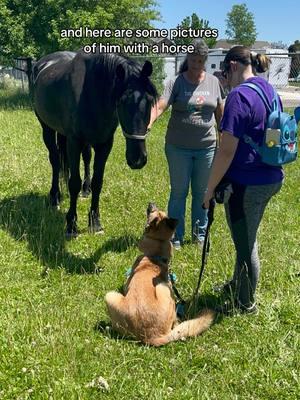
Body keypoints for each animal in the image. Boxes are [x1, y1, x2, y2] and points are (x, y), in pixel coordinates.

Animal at [32, 50, 157, 238]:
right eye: (121, 101)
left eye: (149, 100)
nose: (137, 159)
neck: (91, 93)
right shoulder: (74, 141)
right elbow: (73, 182)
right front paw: (71, 225)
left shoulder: (104, 144)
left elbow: (98, 182)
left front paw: (95, 222)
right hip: (47, 128)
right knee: (55, 160)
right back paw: (55, 198)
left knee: (84, 159)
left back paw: (83, 190)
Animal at [104, 205, 214, 346]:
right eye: (159, 211)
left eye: (153, 212)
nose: (151, 203)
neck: (156, 253)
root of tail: (153, 336)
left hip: (111, 296)